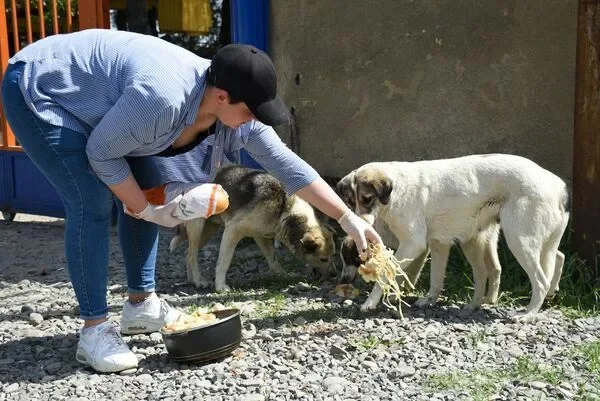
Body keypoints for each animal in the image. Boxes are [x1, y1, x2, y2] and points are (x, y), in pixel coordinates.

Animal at [170, 164, 338, 292]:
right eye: (323, 259)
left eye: (334, 255)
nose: (335, 275)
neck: (285, 210)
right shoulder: (232, 230)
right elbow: (223, 262)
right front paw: (220, 287)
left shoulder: (261, 236)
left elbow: (273, 258)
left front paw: (282, 275)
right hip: (198, 225)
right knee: (192, 255)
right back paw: (199, 281)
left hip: (210, 228)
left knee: (188, 252)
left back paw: (192, 280)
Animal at [338, 153, 568, 322]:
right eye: (350, 202)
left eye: (367, 199)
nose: (361, 224)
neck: (396, 191)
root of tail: (559, 187)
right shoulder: (438, 245)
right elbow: (435, 279)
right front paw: (428, 300)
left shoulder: (413, 243)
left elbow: (389, 275)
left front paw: (370, 302)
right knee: (558, 256)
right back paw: (549, 293)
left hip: (519, 240)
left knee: (540, 280)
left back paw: (528, 314)